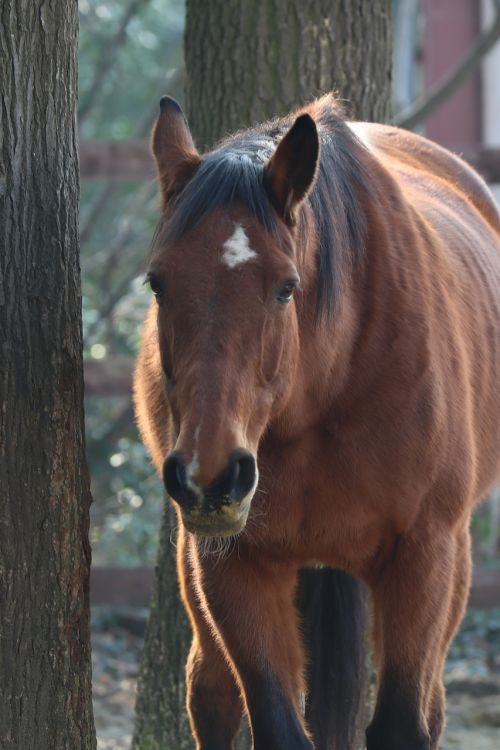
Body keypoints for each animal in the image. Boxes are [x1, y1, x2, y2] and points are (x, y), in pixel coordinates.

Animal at [133, 91, 500, 748]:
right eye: (158, 283)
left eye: (286, 287)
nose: (210, 478)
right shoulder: (234, 564)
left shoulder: (425, 555)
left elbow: (403, 722)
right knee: (212, 693)